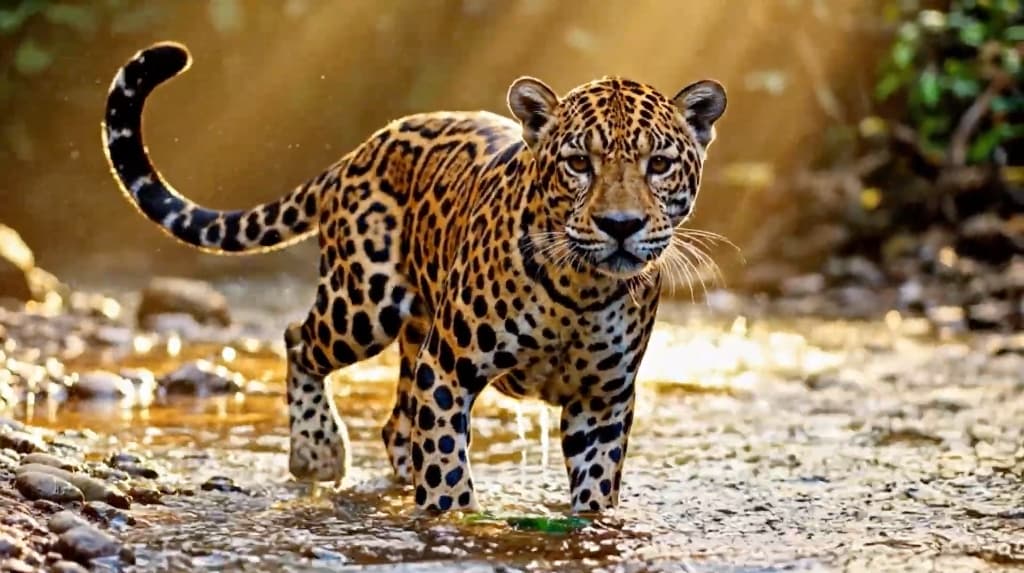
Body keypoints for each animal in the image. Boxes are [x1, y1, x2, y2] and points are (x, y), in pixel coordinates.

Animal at [101, 42, 727, 514]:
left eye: (659, 165)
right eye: (578, 164)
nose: (620, 225)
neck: (581, 290)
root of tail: (363, 148)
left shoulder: (604, 402)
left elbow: (594, 496)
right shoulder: (447, 370)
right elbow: (447, 472)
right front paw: (453, 523)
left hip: (411, 330)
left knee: (395, 425)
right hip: (363, 305)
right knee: (299, 339)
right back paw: (317, 453)